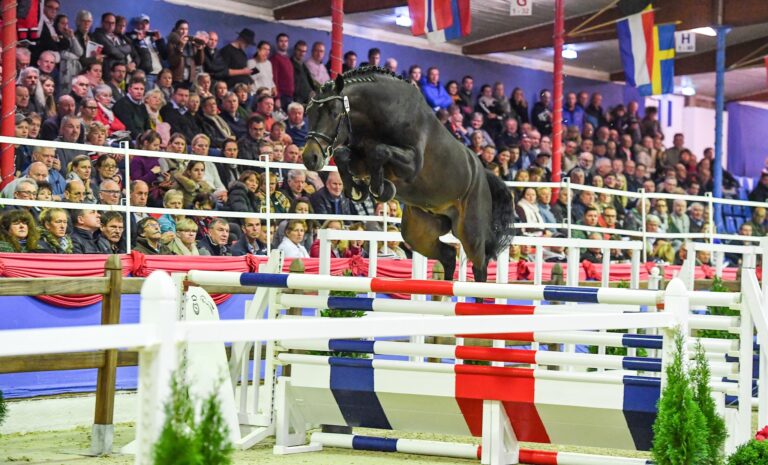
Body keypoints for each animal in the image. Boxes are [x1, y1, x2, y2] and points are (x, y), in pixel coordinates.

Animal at [302, 67, 514, 284]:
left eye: (334, 114)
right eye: (308, 111)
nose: (310, 158)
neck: (382, 115)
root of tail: (482, 172)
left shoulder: (412, 165)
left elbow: (379, 151)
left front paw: (380, 189)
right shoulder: (360, 159)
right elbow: (343, 155)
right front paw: (357, 190)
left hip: (470, 232)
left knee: (480, 266)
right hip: (419, 232)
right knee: (447, 256)